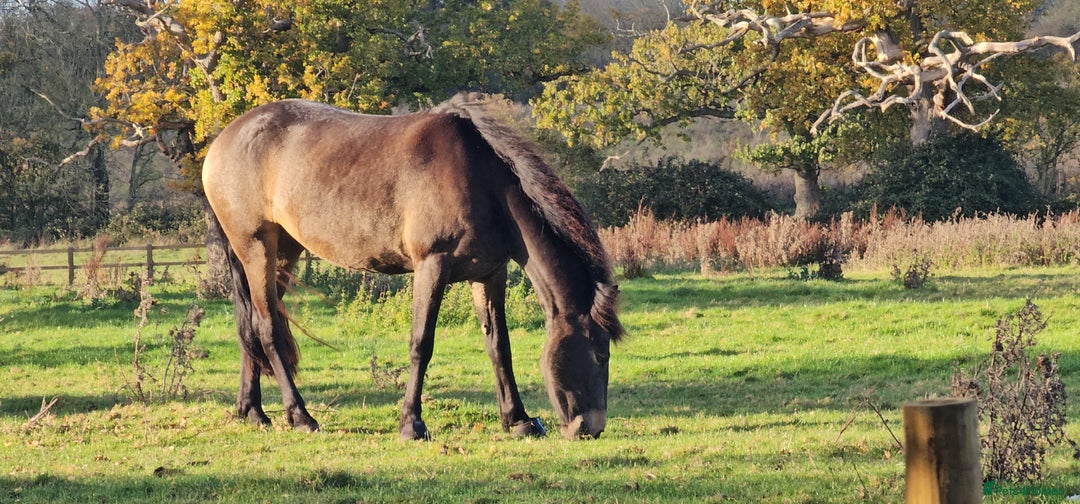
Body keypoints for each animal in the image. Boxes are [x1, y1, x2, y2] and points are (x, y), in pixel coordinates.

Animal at [201, 94, 623, 440]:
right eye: (600, 355)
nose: (592, 427)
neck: (482, 181)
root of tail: (224, 140)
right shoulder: (431, 267)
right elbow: (422, 343)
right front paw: (411, 424)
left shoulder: (489, 274)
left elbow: (498, 346)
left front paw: (518, 420)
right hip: (256, 247)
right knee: (268, 328)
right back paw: (300, 416)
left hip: (282, 252)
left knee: (252, 324)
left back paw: (253, 411)